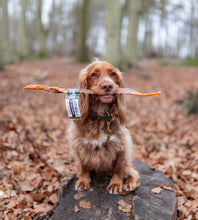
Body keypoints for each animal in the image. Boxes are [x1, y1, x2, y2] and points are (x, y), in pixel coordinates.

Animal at [67, 60, 140, 194]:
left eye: (113, 73)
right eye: (94, 74)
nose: (108, 86)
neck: (101, 117)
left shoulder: (122, 146)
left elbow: (119, 168)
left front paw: (115, 184)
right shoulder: (80, 144)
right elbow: (84, 166)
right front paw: (83, 180)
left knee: (132, 172)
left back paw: (130, 184)